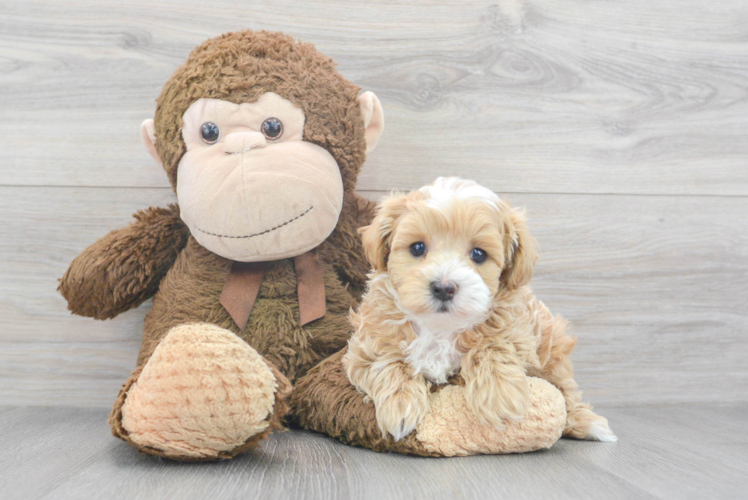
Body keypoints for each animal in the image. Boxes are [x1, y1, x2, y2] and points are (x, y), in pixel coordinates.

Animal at [342, 177, 616, 442]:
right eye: (417, 248)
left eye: (478, 254)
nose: (444, 288)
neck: (440, 326)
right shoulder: (366, 346)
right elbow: (389, 361)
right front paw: (400, 405)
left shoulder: (517, 330)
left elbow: (493, 345)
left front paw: (500, 395)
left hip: (553, 344)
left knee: (566, 390)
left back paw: (587, 423)